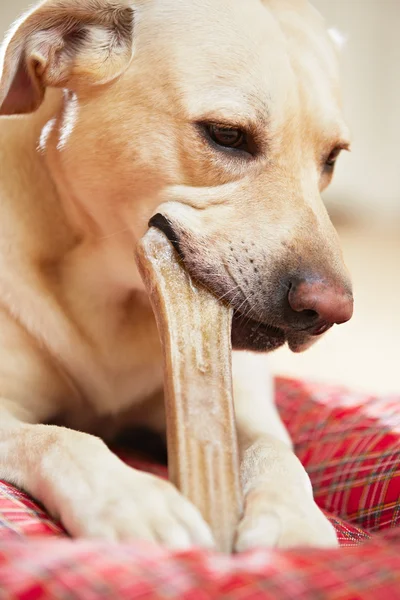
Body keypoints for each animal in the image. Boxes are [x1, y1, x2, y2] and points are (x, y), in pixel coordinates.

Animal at [0, 0, 354, 552]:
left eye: (332, 158)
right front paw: (130, 499)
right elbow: (63, 436)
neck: (116, 299)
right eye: (227, 135)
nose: (331, 312)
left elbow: (278, 450)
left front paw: (293, 519)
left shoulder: (246, 398)